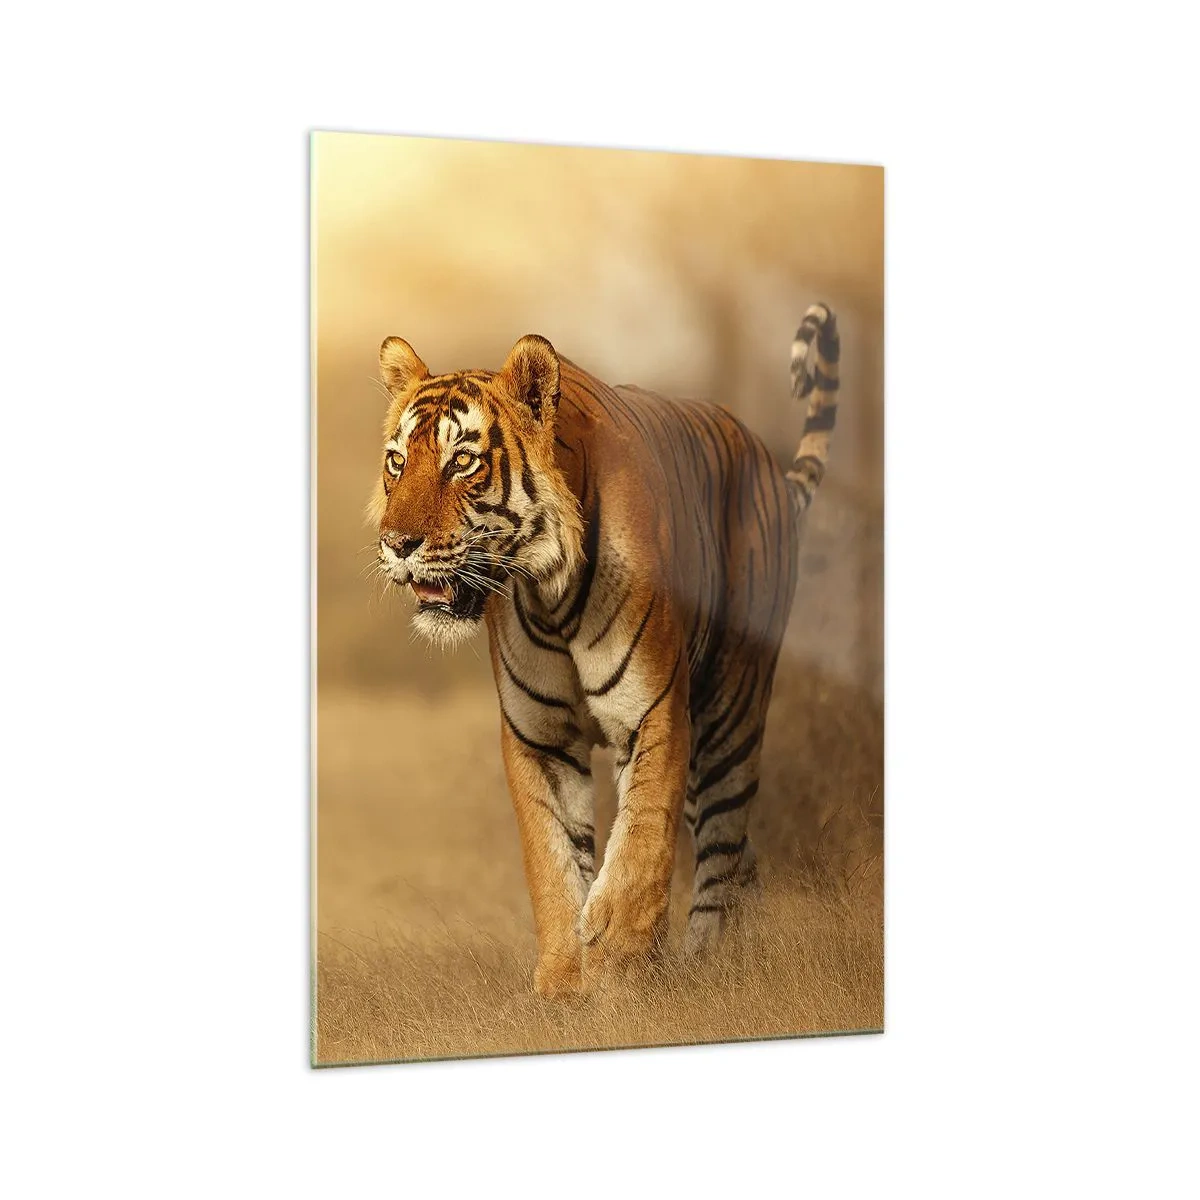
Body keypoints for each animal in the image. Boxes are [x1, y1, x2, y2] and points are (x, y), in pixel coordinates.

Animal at [368, 304, 840, 998]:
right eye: (398, 462)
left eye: (461, 462)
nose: (397, 543)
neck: (546, 589)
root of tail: (766, 463)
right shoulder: (537, 737)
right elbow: (554, 861)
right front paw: (565, 986)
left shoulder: (654, 713)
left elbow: (639, 847)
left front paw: (619, 976)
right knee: (739, 859)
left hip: (730, 717)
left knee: (722, 852)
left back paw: (708, 965)